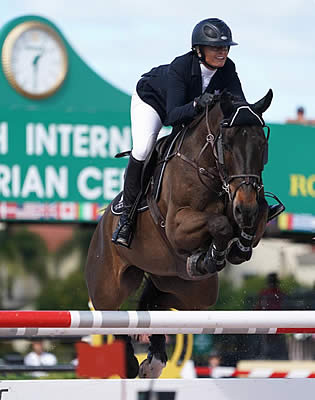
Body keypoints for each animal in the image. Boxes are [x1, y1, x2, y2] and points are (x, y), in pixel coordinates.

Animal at [86, 90, 274, 378]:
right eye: (228, 144)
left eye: (262, 144)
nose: (245, 208)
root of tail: (102, 221)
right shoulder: (177, 225)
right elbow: (219, 223)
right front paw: (215, 253)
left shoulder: (252, 205)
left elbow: (257, 216)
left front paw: (237, 247)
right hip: (108, 284)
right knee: (110, 313)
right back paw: (129, 361)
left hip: (189, 288)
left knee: (155, 301)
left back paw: (154, 358)